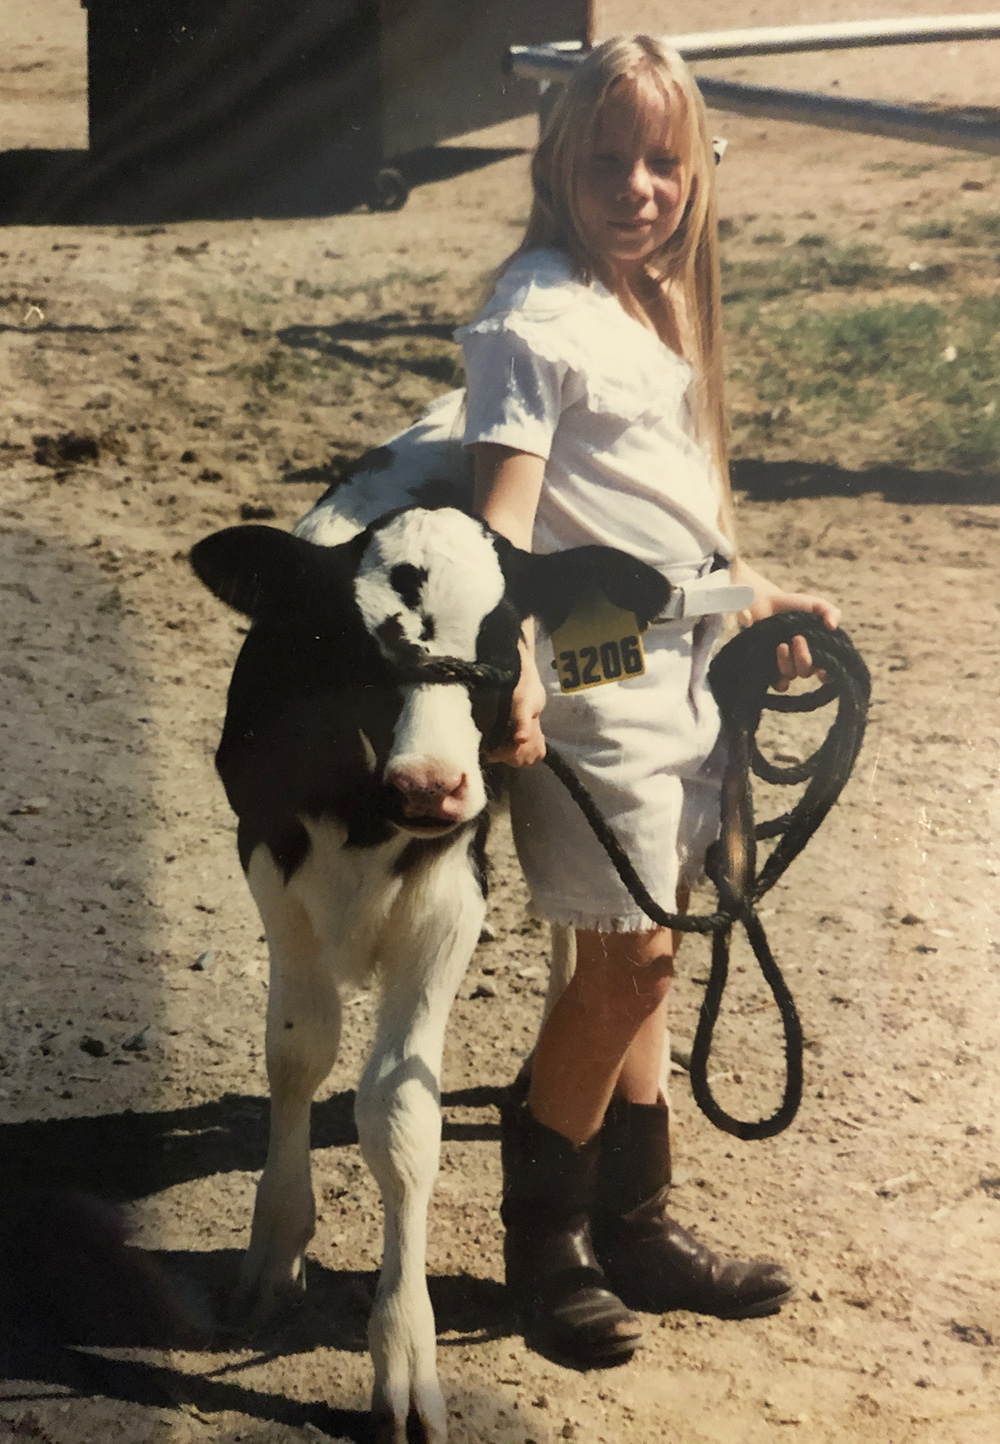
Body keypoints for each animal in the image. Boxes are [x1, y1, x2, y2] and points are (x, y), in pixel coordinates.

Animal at [190, 401, 666, 1438]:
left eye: (504, 644)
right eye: (360, 646)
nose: (432, 785)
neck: (366, 805)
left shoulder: (453, 891)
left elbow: (400, 1114)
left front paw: (405, 1361)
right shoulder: (266, 853)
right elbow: (296, 1052)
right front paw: (273, 1251)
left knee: (574, 920)